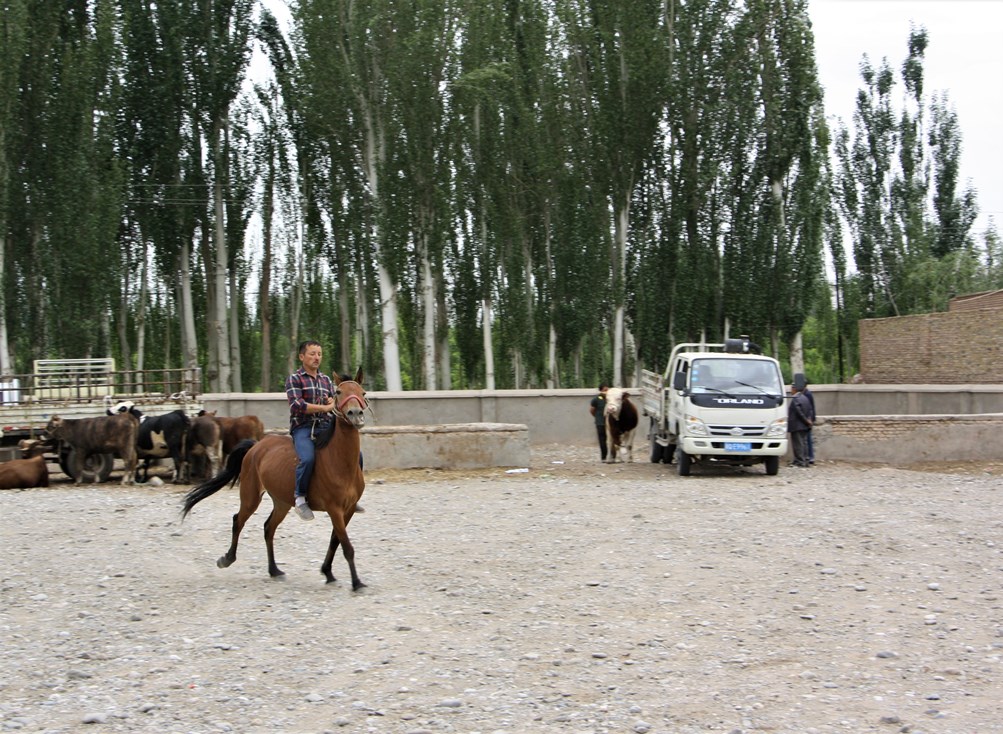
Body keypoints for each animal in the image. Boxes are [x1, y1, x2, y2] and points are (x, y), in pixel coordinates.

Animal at [181, 369, 369, 589]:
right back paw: (227, 559)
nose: (355, 414)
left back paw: (274, 570)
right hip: (250, 496)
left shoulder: (348, 510)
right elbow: (346, 546)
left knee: (268, 528)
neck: (339, 461)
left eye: (363, 393)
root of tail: (255, 446)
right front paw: (356, 582)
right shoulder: (334, 509)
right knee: (238, 521)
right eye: (338, 392)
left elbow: (335, 541)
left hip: (282, 502)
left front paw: (328, 572)